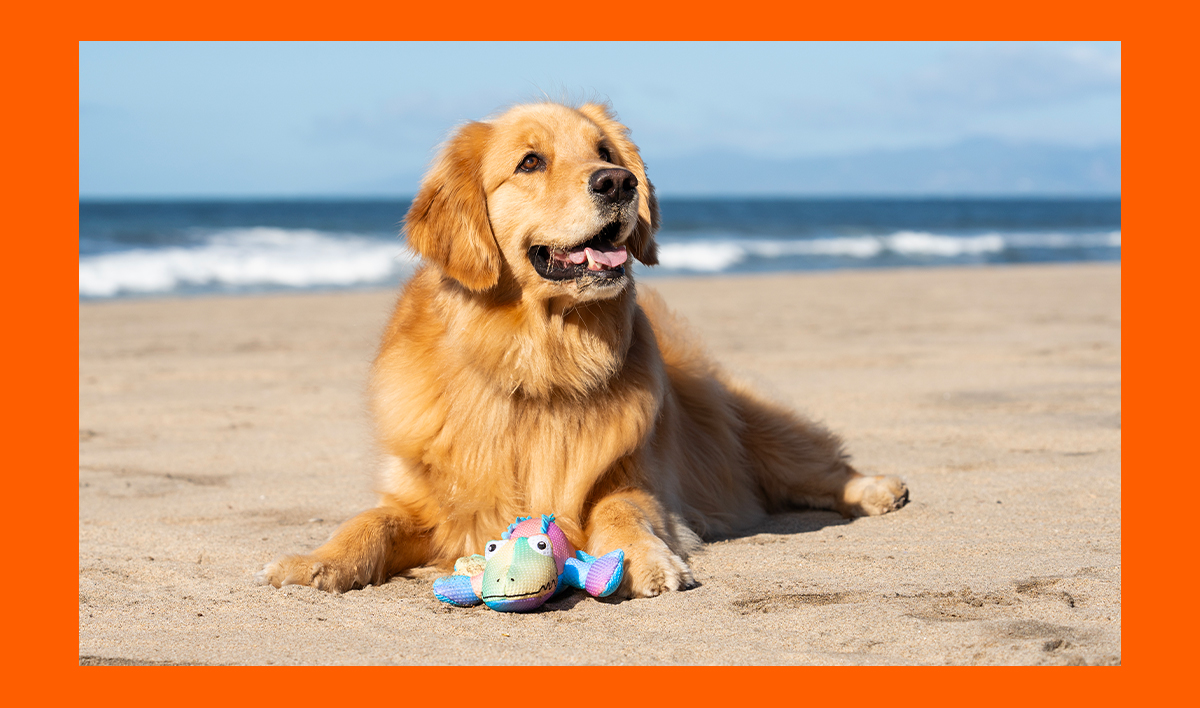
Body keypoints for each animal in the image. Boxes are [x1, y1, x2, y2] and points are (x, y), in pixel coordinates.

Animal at [255, 101, 907, 600]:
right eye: (530, 161)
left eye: (605, 152)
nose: (619, 182)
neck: (538, 365)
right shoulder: (428, 501)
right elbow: (373, 519)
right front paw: (314, 561)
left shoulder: (632, 478)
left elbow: (621, 511)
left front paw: (645, 559)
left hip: (756, 430)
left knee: (819, 467)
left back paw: (879, 489)